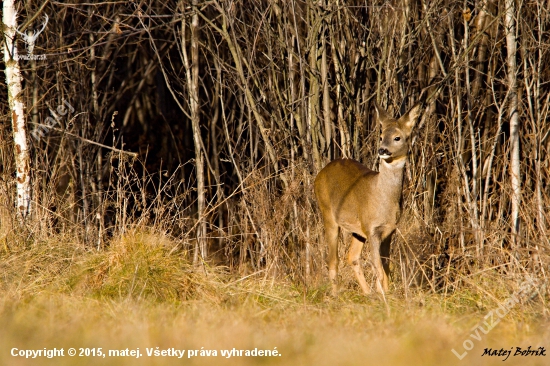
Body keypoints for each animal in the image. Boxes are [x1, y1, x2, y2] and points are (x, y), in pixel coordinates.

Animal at [314, 102, 422, 294]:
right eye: (381, 136)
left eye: (397, 137)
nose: (382, 150)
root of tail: (319, 174)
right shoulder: (372, 229)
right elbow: (378, 267)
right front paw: (384, 295)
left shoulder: (389, 230)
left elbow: (385, 267)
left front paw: (384, 293)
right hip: (327, 213)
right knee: (332, 260)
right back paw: (336, 294)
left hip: (357, 229)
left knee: (352, 256)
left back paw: (367, 293)